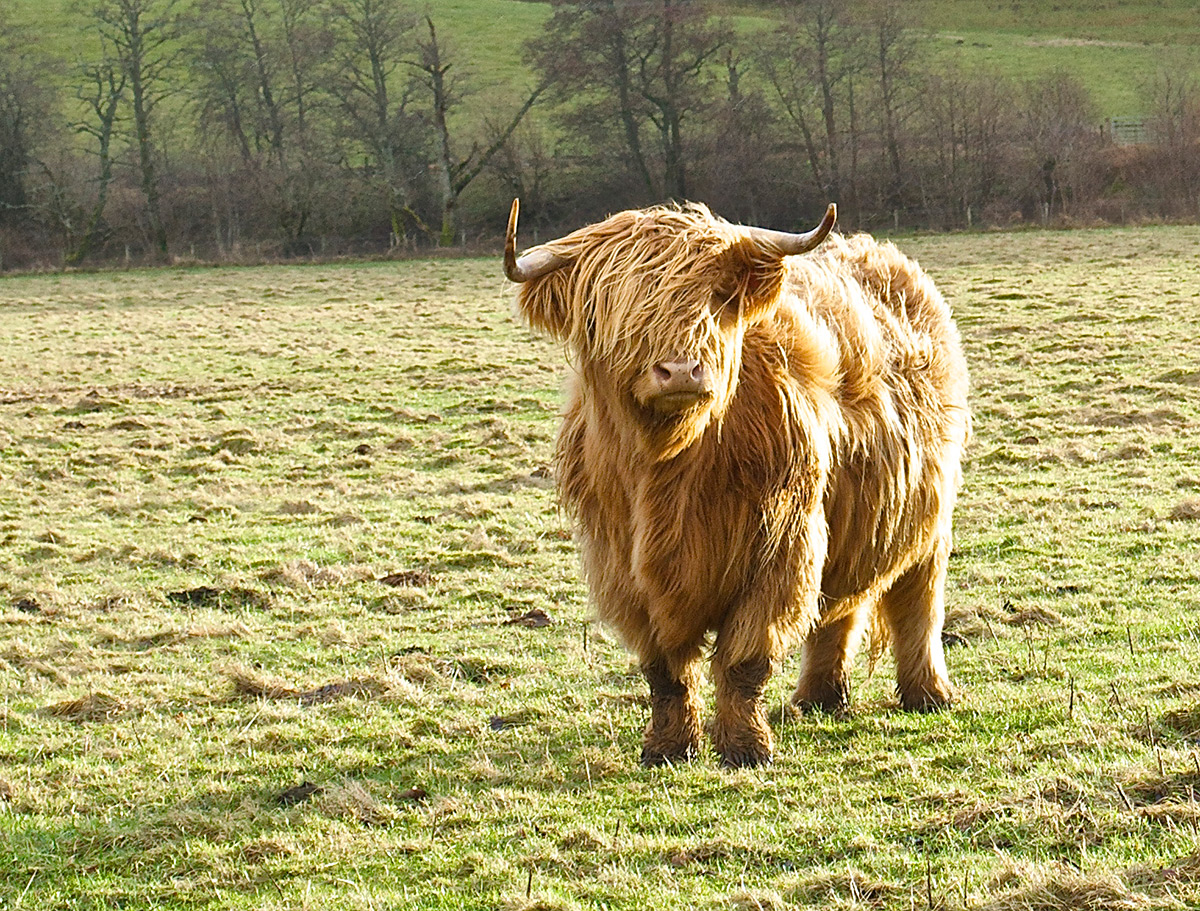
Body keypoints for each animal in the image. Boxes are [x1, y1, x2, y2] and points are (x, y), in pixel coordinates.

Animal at [503, 198, 970, 768]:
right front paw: (667, 747)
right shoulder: (622, 567)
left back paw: (928, 694)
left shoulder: (781, 549)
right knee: (838, 610)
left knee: (917, 604)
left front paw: (746, 748)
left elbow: (745, 658)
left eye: (716, 295)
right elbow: (664, 670)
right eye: (614, 304)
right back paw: (818, 698)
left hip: (928, 517)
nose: (681, 371)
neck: (671, 468)